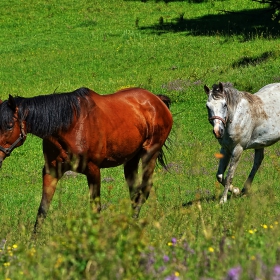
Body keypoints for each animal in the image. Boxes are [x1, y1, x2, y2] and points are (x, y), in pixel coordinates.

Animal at [0, 87, 173, 232]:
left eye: (9, 125)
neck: (70, 126)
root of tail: (157, 100)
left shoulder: (93, 170)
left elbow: (95, 207)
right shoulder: (51, 171)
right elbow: (43, 208)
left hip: (149, 154)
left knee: (144, 189)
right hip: (131, 160)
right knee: (135, 193)